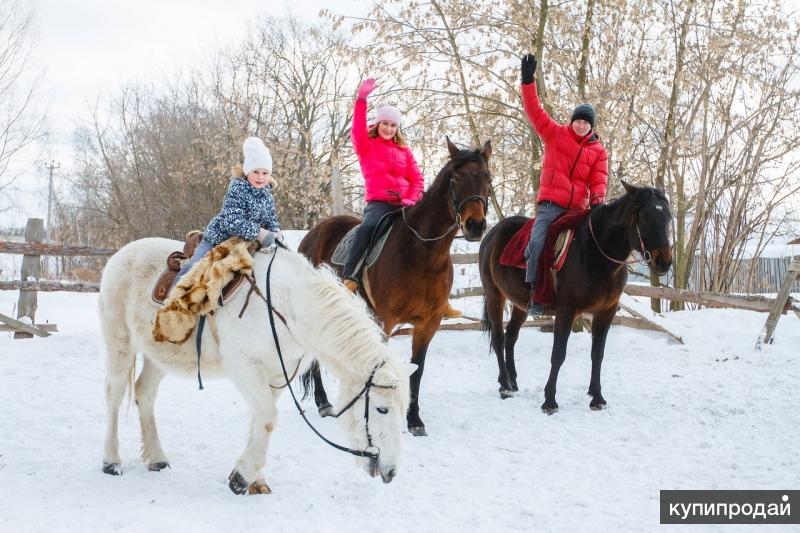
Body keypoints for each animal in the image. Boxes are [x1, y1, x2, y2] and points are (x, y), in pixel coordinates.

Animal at [98, 239, 412, 492]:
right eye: (382, 409)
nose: (392, 471)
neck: (288, 306)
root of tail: (121, 254)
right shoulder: (246, 368)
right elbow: (269, 418)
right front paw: (242, 477)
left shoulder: (277, 375)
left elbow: (260, 420)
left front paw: (254, 480)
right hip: (120, 344)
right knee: (114, 395)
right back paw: (111, 461)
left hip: (158, 356)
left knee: (145, 393)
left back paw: (157, 458)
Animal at [296, 138, 490, 436]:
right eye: (456, 179)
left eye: (487, 179)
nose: (475, 225)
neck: (422, 253)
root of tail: (311, 235)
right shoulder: (383, 321)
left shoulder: (428, 324)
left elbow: (417, 369)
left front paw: (414, 420)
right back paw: (323, 403)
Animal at [478, 182, 672, 412]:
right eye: (645, 217)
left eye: (668, 217)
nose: (664, 262)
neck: (596, 253)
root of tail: (491, 235)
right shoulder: (566, 311)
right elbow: (558, 354)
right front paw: (549, 401)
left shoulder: (606, 312)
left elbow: (597, 354)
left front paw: (597, 397)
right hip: (494, 295)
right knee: (499, 338)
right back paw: (505, 387)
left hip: (520, 304)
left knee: (511, 337)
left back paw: (513, 381)